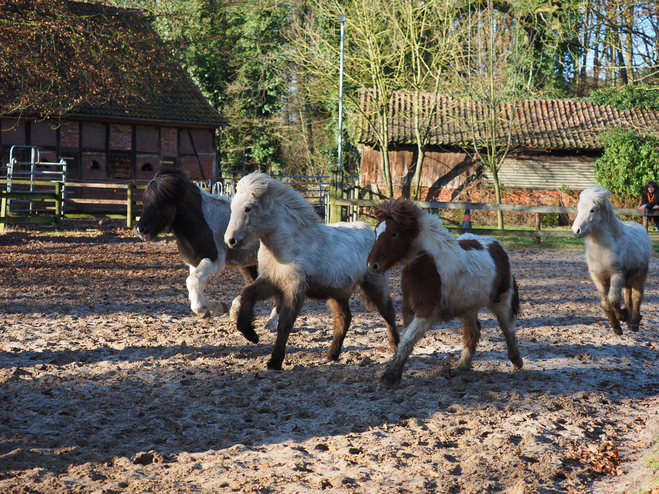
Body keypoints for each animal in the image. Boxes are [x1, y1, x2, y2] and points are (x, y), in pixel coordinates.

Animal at [224, 174, 400, 370]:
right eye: (232, 208)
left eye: (248, 208)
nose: (230, 240)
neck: (287, 245)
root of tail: (371, 232)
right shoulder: (272, 281)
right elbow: (247, 294)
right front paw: (250, 334)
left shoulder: (294, 288)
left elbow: (285, 323)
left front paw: (275, 361)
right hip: (338, 293)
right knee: (344, 319)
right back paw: (331, 355)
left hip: (374, 284)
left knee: (388, 313)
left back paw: (395, 347)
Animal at [368, 199, 524, 388]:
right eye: (376, 231)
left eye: (393, 234)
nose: (372, 265)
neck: (426, 263)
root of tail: (498, 245)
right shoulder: (408, 309)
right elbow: (404, 340)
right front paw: (395, 375)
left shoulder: (426, 311)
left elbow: (407, 341)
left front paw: (388, 378)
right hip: (467, 307)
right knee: (473, 331)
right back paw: (462, 366)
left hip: (501, 300)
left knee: (508, 327)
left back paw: (516, 361)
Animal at [572, 187, 656, 334]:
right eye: (579, 208)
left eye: (592, 210)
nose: (576, 230)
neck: (602, 249)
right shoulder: (598, 278)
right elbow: (605, 303)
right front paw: (617, 326)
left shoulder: (616, 275)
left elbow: (613, 300)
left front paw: (622, 317)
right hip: (627, 278)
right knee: (627, 294)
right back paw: (629, 319)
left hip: (639, 275)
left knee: (636, 296)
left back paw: (634, 323)